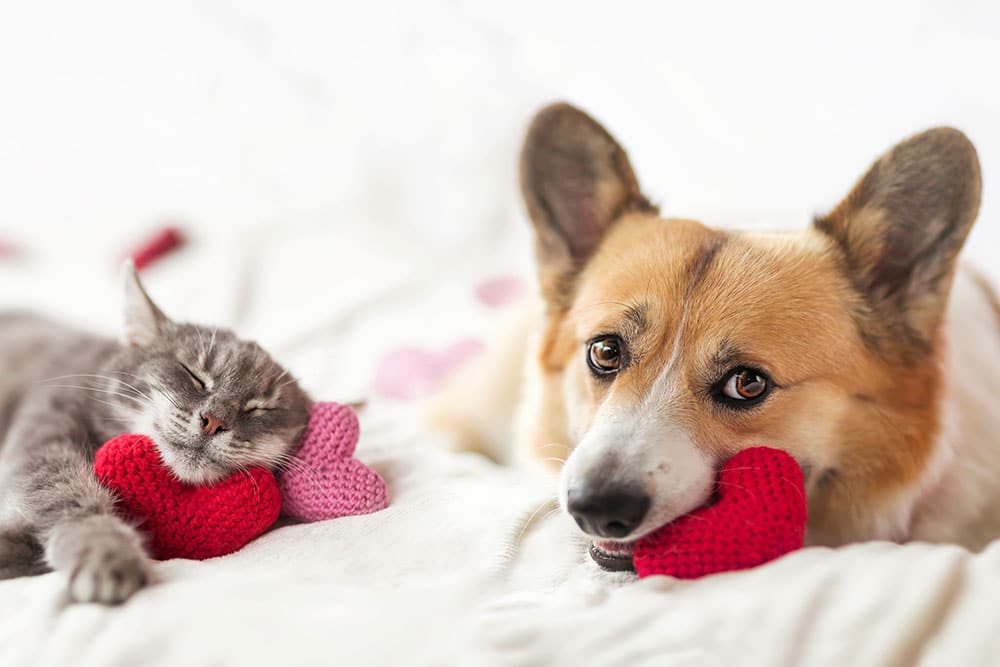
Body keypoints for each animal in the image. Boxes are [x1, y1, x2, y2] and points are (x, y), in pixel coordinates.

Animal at [0, 264, 310, 604]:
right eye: (194, 376)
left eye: (259, 408)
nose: (214, 420)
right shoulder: (46, 429)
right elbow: (64, 492)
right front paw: (104, 546)